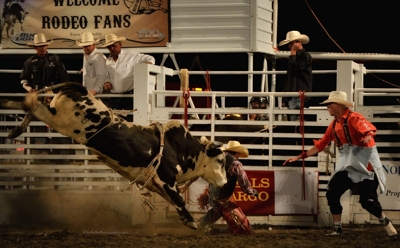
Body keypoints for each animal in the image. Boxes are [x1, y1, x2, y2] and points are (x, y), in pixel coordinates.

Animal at [0, 82, 228, 230]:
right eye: (220, 161)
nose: (226, 183)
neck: (184, 150)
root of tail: (81, 89)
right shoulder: (166, 179)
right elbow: (179, 199)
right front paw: (192, 222)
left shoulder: (156, 184)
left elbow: (173, 200)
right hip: (60, 120)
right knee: (33, 106)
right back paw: (13, 117)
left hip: (55, 114)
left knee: (31, 107)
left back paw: (15, 129)